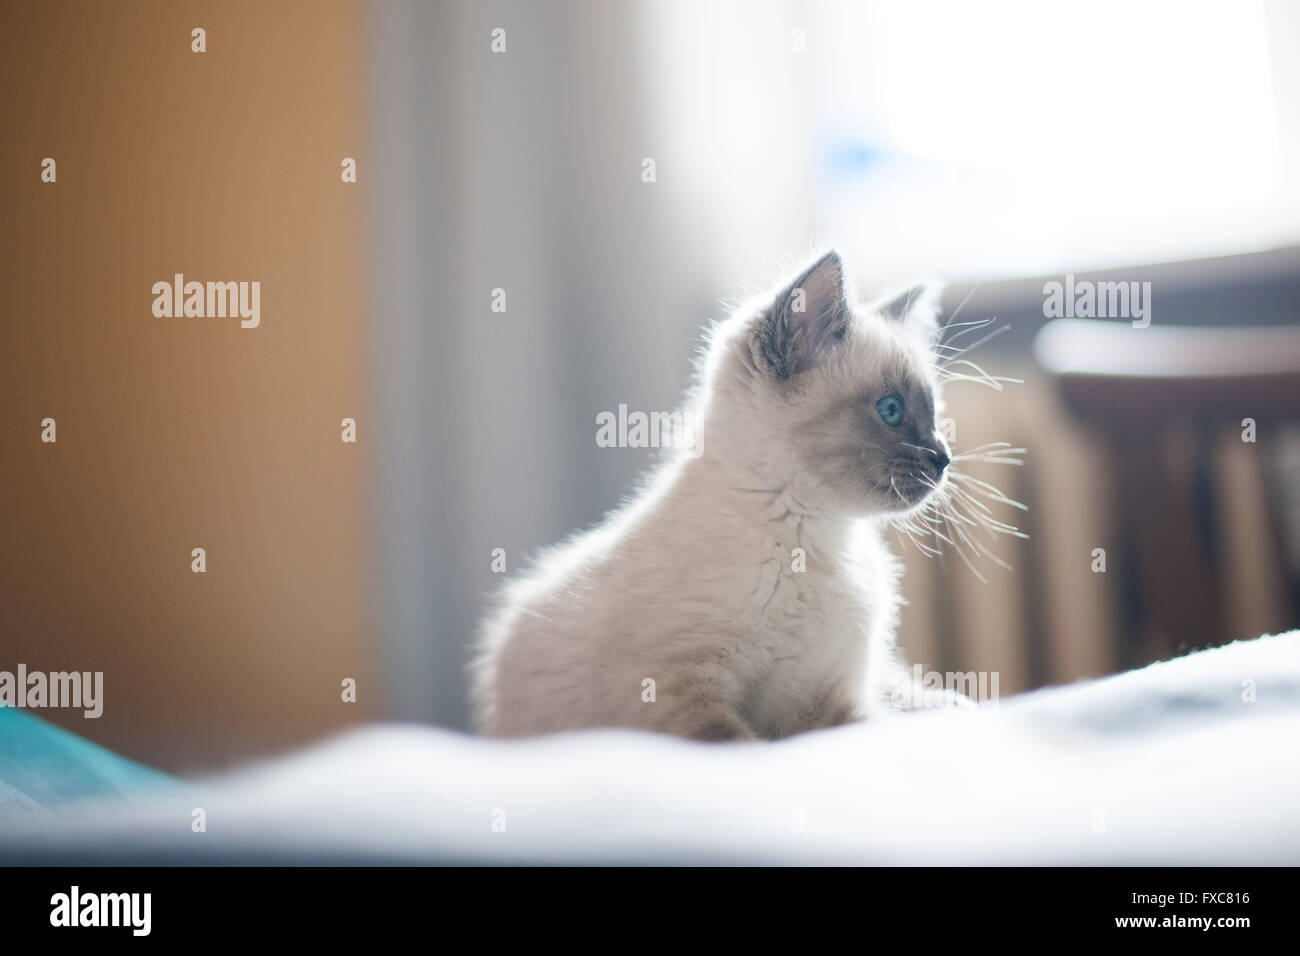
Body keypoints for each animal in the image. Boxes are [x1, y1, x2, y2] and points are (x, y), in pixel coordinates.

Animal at [467, 251, 967, 743]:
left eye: (935, 415)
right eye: (891, 410)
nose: (943, 458)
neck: (816, 530)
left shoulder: (827, 700)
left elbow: (874, 724)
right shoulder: (678, 690)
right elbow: (740, 744)